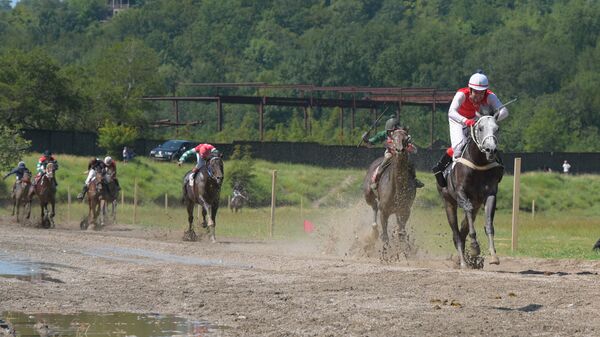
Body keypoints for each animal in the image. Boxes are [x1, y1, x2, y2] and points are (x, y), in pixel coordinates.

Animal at [438, 115, 504, 268]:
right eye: (480, 128)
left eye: (497, 128)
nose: (490, 150)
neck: (478, 162)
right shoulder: (461, 193)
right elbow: (467, 215)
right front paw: (474, 247)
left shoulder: (490, 194)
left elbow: (488, 224)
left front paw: (493, 255)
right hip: (448, 202)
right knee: (456, 233)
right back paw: (463, 262)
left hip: (476, 203)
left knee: (463, 230)